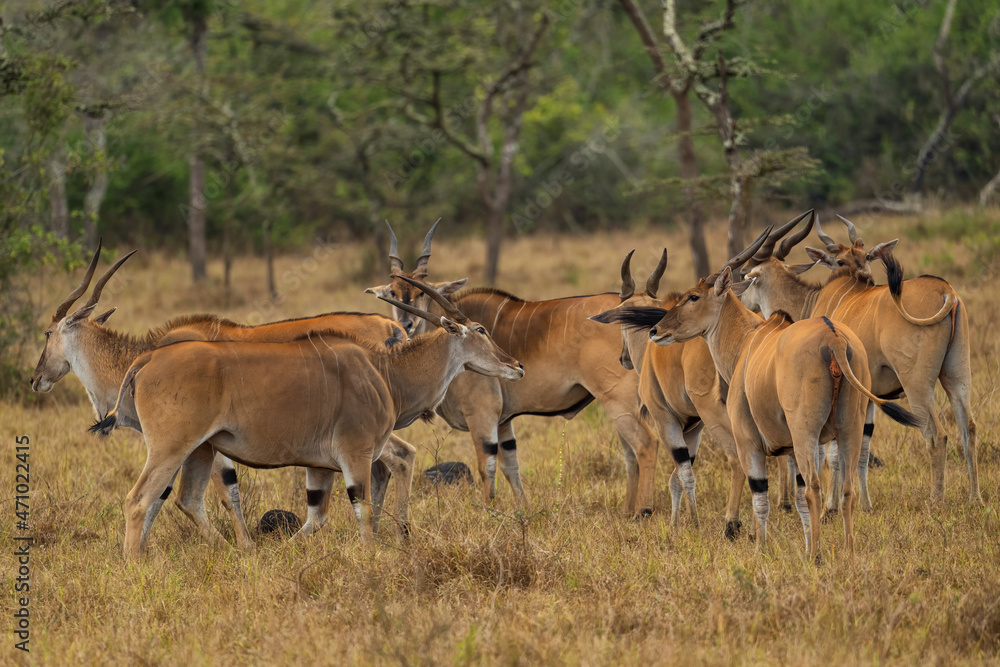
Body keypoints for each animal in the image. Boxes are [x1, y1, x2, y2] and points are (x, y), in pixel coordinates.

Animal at [31, 243, 416, 544]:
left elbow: (218, 495)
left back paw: (396, 534)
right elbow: (169, 497)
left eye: (48, 333)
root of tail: (392, 326)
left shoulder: (204, 444)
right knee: (388, 465)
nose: (36, 378)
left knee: (401, 457)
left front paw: (244, 547)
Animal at [92, 282, 524, 560]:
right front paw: (373, 558)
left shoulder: (321, 467)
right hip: (171, 447)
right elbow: (363, 509)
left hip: (200, 450)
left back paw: (236, 552)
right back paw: (136, 565)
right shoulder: (355, 454)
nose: (516, 366)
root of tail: (148, 357)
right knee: (139, 499)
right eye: (481, 329)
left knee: (186, 500)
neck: (383, 371)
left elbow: (316, 517)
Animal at [368, 237, 664, 520]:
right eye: (393, 292)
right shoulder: (503, 423)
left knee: (646, 444)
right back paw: (626, 511)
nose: (406, 325)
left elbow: (486, 467)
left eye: (420, 292)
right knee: (631, 454)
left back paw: (643, 511)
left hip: (618, 402)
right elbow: (511, 467)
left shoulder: (482, 417)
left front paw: (487, 515)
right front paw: (524, 512)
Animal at [616, 245, 920, 560]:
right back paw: (847, 553)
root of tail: (834, 339)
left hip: (805, 434)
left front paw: (758, 546)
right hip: (850, 429)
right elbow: (797, 501)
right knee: (846, 489)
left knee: (814, 488)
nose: (655, 330)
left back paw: (815, 556)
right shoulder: (791, 448)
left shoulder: (749, 442)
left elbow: (761, 497)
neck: (747, 340)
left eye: (694, 297)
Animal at [740, 215, 980, 506]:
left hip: (917, 384)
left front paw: (831, 506)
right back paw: (975, 498)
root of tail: (947, 292)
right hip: (957, 375)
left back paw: (935, 501)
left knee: (937, 434)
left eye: (744, 276)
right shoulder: (868, 398)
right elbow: (860, 451)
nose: (738, 297)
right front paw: (864, 503)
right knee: (969, 428)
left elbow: (831, 454)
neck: (811, 301)